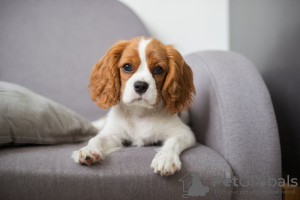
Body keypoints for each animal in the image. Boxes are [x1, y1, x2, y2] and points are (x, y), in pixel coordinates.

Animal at [72, 36, 197, 176]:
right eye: (127, 67)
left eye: (158, 69)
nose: (141, 85)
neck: (140, 112)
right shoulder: (112, 133)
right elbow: (97, 139)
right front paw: (88, 150)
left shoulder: (184, 133)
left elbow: (173, 142)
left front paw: (166, 159)